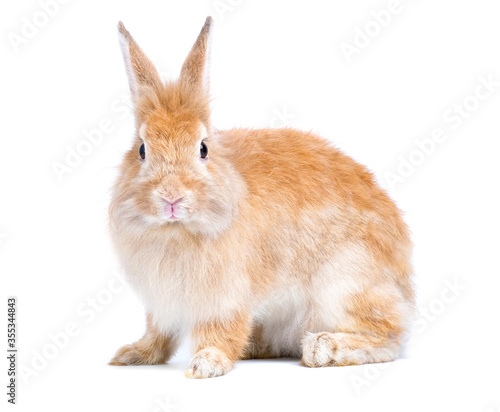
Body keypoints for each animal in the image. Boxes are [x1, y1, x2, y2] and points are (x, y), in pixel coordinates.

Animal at [108, 17, 414, 378]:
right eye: (142, 150)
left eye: (203, 148)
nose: (172, 197)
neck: (176, 230)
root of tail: (404, 285)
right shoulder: (161, 305)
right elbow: (159, 334)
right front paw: (132, 354)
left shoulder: (225, 298)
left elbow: (221, 332)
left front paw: (206, 363)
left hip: (345, 286)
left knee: (389, 336)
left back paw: (324, 348)